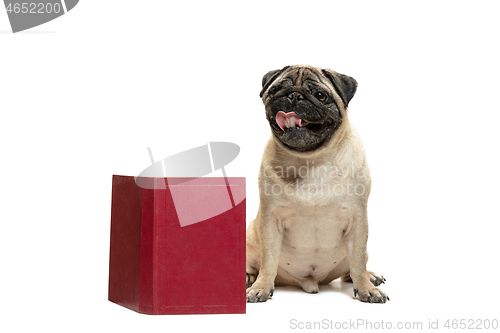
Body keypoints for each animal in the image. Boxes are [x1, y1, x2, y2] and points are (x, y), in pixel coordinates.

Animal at [246, 65, 390, 304]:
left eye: (321, 96)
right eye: (276, 90)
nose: (294, 96)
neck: (311, 160)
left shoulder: (358, 220)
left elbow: (358, 261)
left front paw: (366, 288)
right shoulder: (270, 221)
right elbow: (268, 261)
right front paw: (262, 287)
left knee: (352, 269)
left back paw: (370, 276)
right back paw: (249, 277)